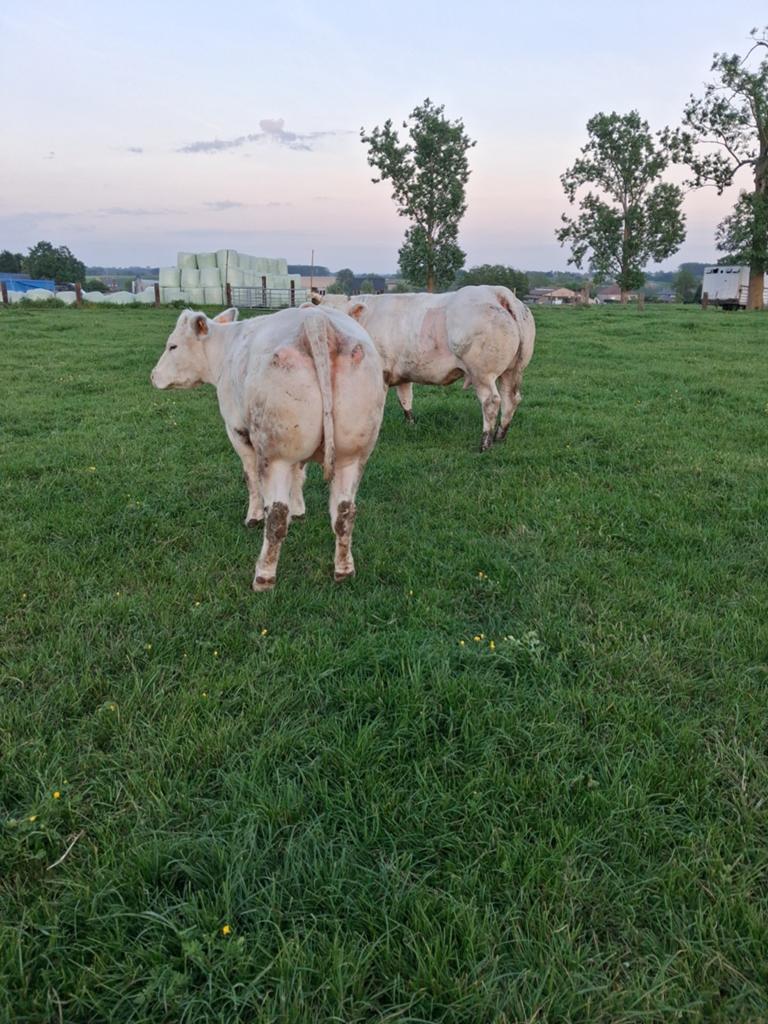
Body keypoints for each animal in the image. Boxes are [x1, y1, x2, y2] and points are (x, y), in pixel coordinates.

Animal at [150, 306, 385, 591]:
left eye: (172, 346)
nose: (153, 375)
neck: (227, 349)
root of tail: (316, 319)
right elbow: (299, 474)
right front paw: (299, 510)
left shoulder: (236, 430)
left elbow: (250, 476)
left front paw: (253, 516)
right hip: (352, 455)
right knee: (344, 512)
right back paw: (344, 569)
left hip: (275, 454)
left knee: (276, 515)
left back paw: (264, 575)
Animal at [312, 286, 535, 451]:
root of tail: (497, 292)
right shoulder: (402, 372)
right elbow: (405, 399)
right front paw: (410, 424)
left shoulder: (380, 373)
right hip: (513, 371)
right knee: (511, 399)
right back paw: (500, 435)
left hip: (482, 373)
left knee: (491, 401)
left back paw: (485, 443)